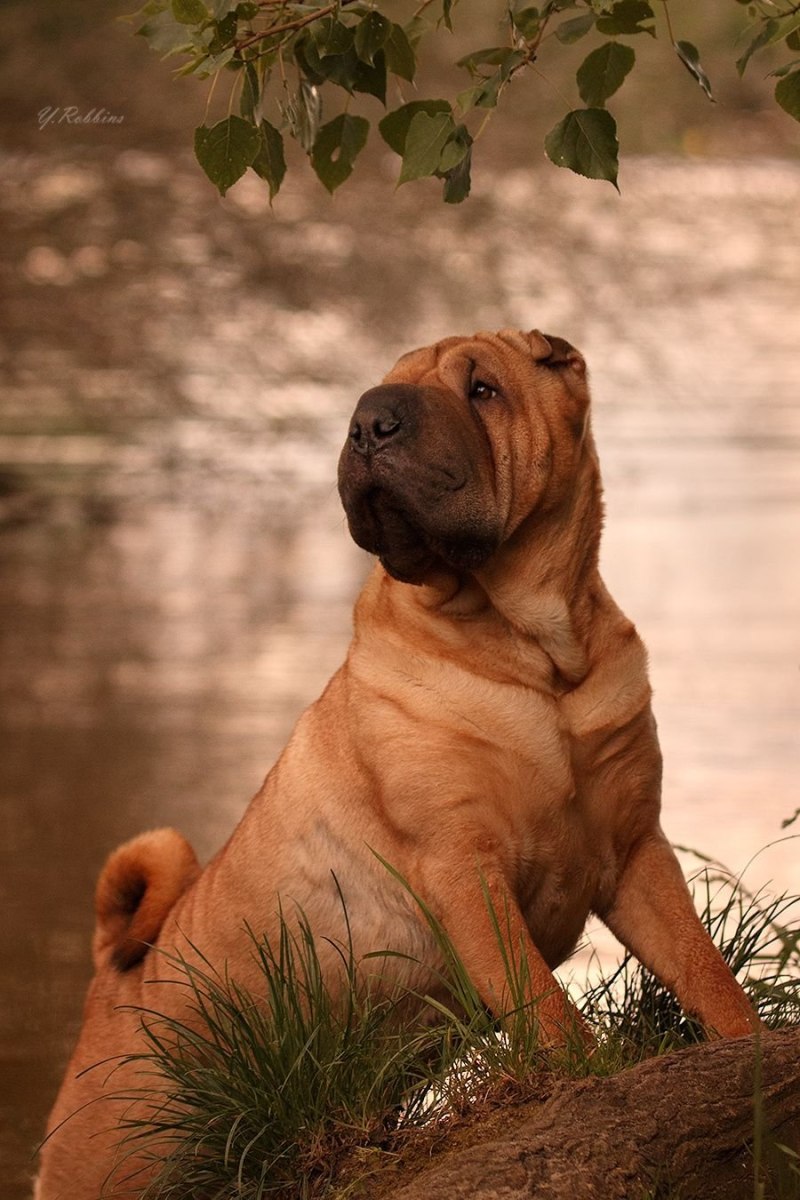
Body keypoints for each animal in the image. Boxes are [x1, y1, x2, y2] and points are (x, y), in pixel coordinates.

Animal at [37, 328, 762, 1200]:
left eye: (483, 389)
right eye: (374, 396)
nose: (370, 423)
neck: (534, 652)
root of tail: (110, 982)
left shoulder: (635, 852)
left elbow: (703, 967)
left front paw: (754, 1048)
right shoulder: (463, 863)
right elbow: (540, 997)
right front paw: (595, 1070)